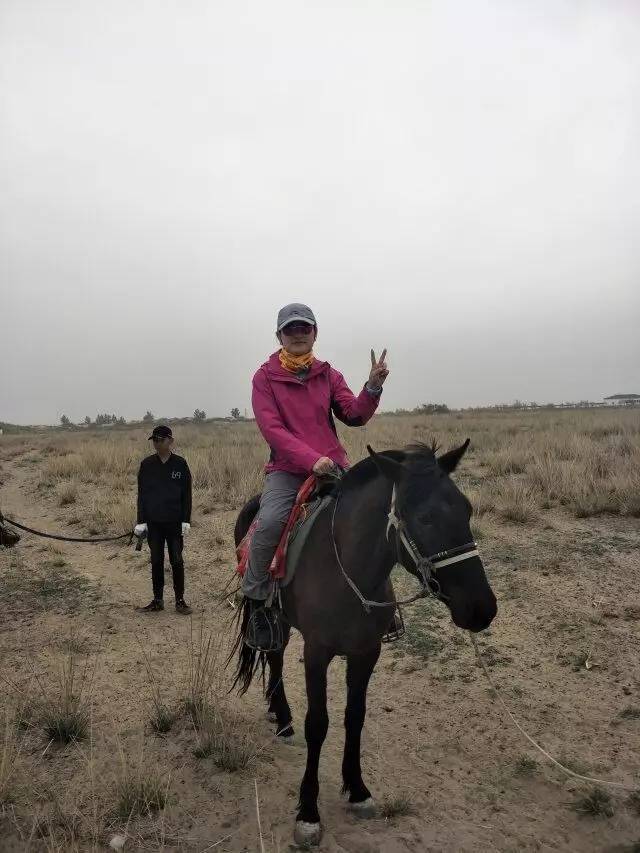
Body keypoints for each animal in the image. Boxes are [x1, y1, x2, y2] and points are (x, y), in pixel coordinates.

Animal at [232, 442, 498, 844]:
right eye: (425, 518)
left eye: (467, 509)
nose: (482, 608)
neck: (349, 571)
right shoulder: (317, 653)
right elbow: (318, 724)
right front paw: (308, 811)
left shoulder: (366, 653)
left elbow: (354, 717)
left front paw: (357, 790)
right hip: (273, 614)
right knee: (274, 653)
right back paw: (285, 719)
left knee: (276, 657)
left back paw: (281, 716)